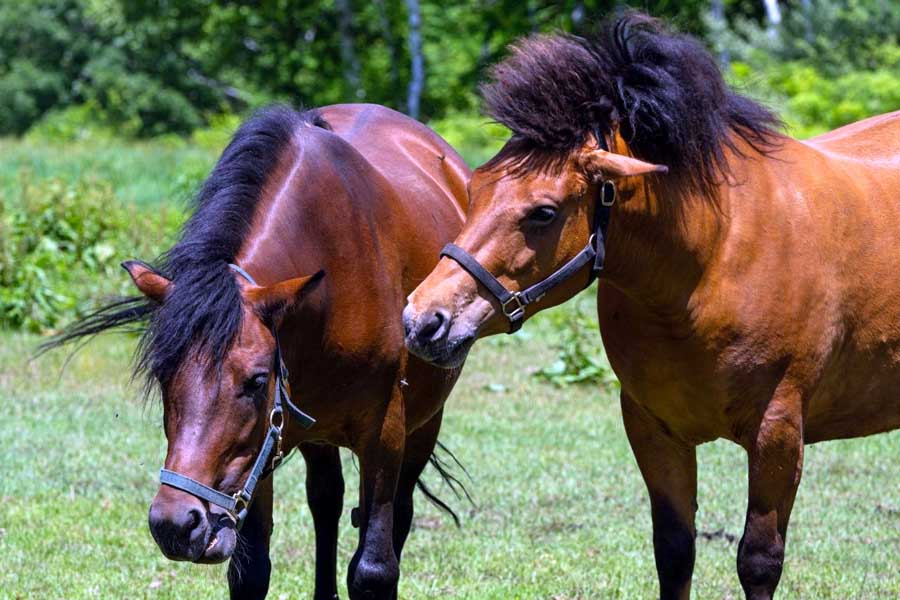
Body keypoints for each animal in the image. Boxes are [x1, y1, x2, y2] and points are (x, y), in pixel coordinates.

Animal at [47, 103, 470, 600]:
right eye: (163, 376)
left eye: (256, 380)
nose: (177, 524)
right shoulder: (266, 443)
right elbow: (251, 573)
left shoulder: (385, 436)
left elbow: (374, 570)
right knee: (326, 502)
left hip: (422, 425)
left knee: (395, 514)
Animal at [403, 14, 900, 600]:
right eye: (475, 188)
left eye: (544, 212)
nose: (423, 320)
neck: (713, 259)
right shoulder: (652, 428)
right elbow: (675, 551)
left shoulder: (778, 435)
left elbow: (758, 561)